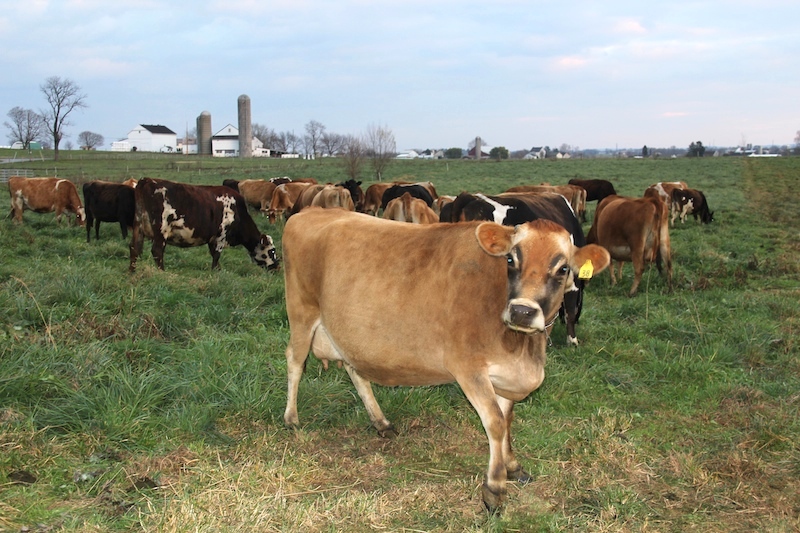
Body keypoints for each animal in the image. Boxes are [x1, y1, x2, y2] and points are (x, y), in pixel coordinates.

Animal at [129, 178, 279, 272]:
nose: (277, 266)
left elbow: (214, 254)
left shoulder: (212, 238)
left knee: (134, 248)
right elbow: (216, 255)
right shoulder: (221, 235)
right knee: (157, 251)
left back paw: (132, 271)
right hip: (161, 230)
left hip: (138, 227)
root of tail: (147, 180)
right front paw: (216, 272)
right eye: (272, 251)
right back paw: (162, 272)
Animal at [281, 208, 610, 512]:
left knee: (355, 370)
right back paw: (291, 419)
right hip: (301, 312)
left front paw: (513, 466)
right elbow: (495, 423)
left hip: (350, 333)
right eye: (510, 260)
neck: (523, 349)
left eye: (563, 268)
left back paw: (381, 422)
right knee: (295, 361)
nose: (522, 311)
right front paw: (494, 489)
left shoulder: (505, 376)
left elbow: (507, 421)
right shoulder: (468, 368)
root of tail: (310, 211)